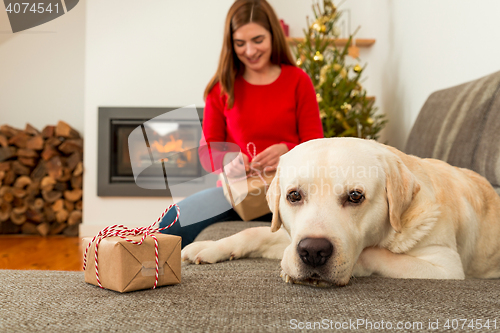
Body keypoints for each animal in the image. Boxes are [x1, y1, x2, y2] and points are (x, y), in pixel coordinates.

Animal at [182, 137, 500, 286]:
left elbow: (373, 253)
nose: (312, 251)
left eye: (355, 196)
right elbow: (253, 233)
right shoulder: (290, 235)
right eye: (294, 195)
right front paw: (209, 247)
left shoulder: (444, 266)